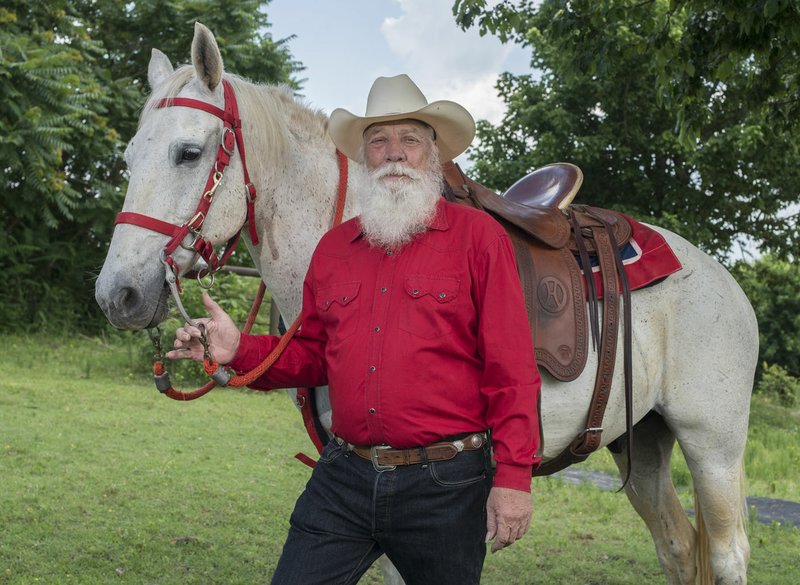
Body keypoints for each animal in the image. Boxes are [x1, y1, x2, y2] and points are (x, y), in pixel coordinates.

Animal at [94, 22, 756, 584]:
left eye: (188, 153)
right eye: (127, 158)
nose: (117, 294)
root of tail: (722, 279)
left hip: (713, 445)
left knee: (727, 554)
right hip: (641, 442)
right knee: (677, 548)